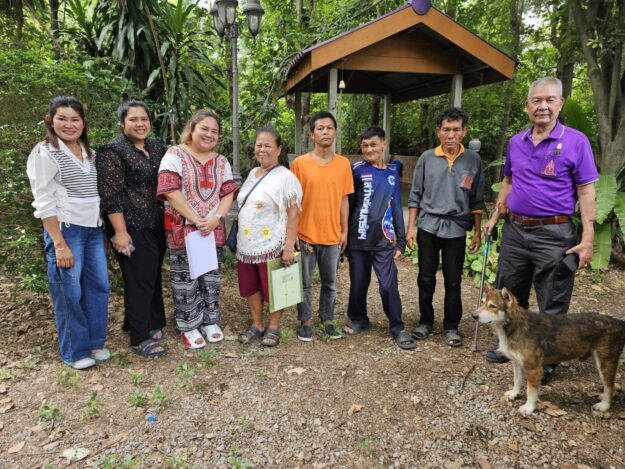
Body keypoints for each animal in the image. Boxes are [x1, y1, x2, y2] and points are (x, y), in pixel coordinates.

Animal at [472, 285, 625, 416]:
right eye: (482, 302)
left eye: (492, 306)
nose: (474, 316)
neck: (515, 326)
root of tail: (618, 322)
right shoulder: (517, 364)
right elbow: (517, 381)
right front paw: (514, 394)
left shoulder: (533, 369)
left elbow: (530, 390)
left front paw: (529, 408)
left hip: (605, 363)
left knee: (610, 386)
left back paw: (605, 405)